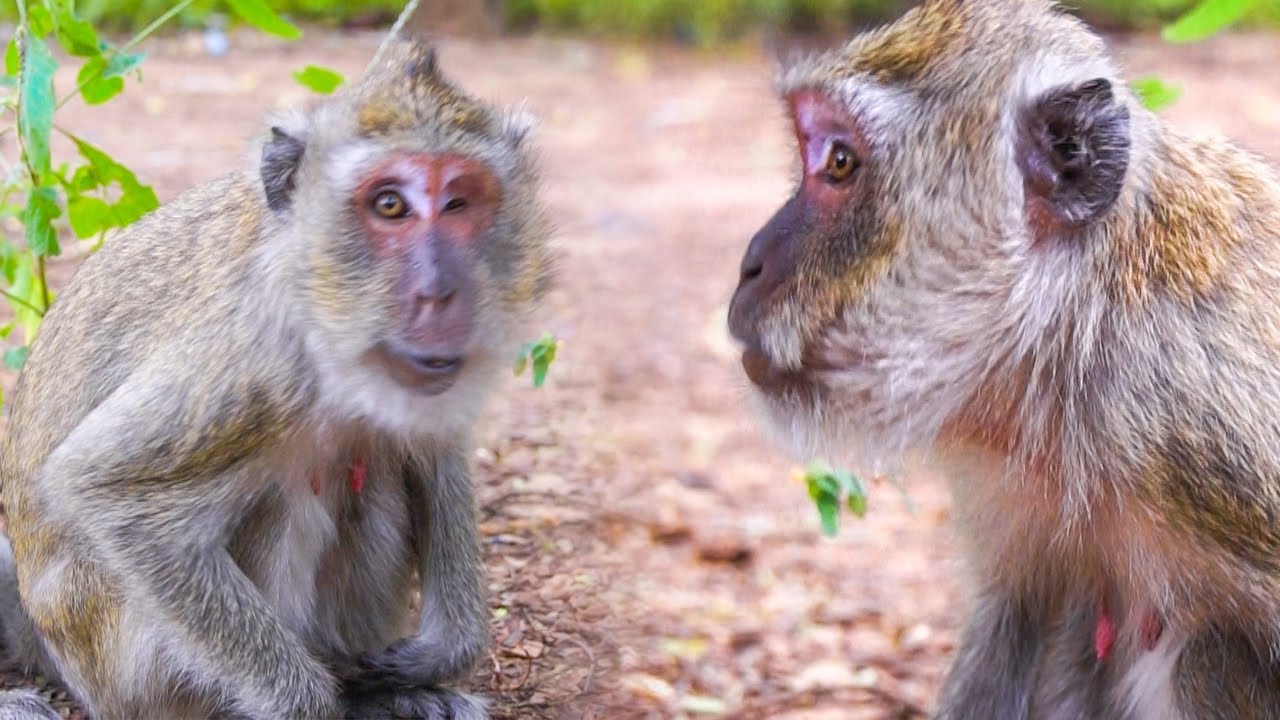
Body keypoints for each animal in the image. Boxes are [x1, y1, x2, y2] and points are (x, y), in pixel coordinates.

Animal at [0, 37, 552, 720]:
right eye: (389, 205)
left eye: (459, 202)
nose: (438, 292)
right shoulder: (259, 352)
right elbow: (104, 488)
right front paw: (314, 706)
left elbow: (434, 448)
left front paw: (445, 650)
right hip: (118, 660)